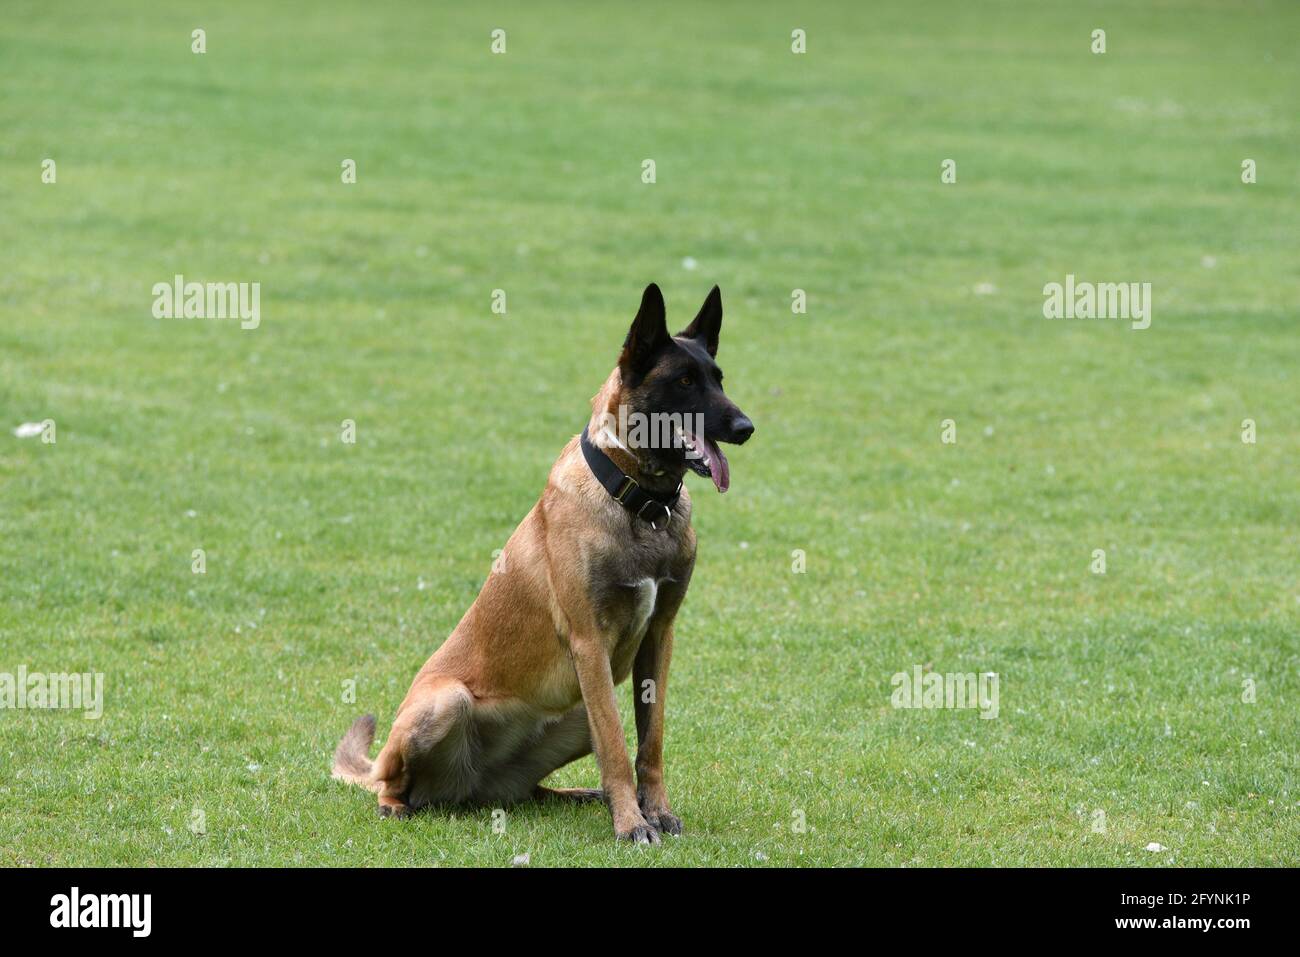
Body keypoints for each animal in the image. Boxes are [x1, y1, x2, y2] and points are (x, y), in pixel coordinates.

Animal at [332, 283, 754, 842]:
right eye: (684, 381)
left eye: (718, 378)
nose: (747, 427)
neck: (638, 502)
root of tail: (464, 788)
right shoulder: (589, 644)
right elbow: (618, 747)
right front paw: (632, 824)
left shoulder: (659, 638)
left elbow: (650, 742)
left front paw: (655, 811)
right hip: (449, 703)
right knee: (392, 783)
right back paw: (394, 805)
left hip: (575, 713)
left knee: (527, 788)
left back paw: (572, 794)